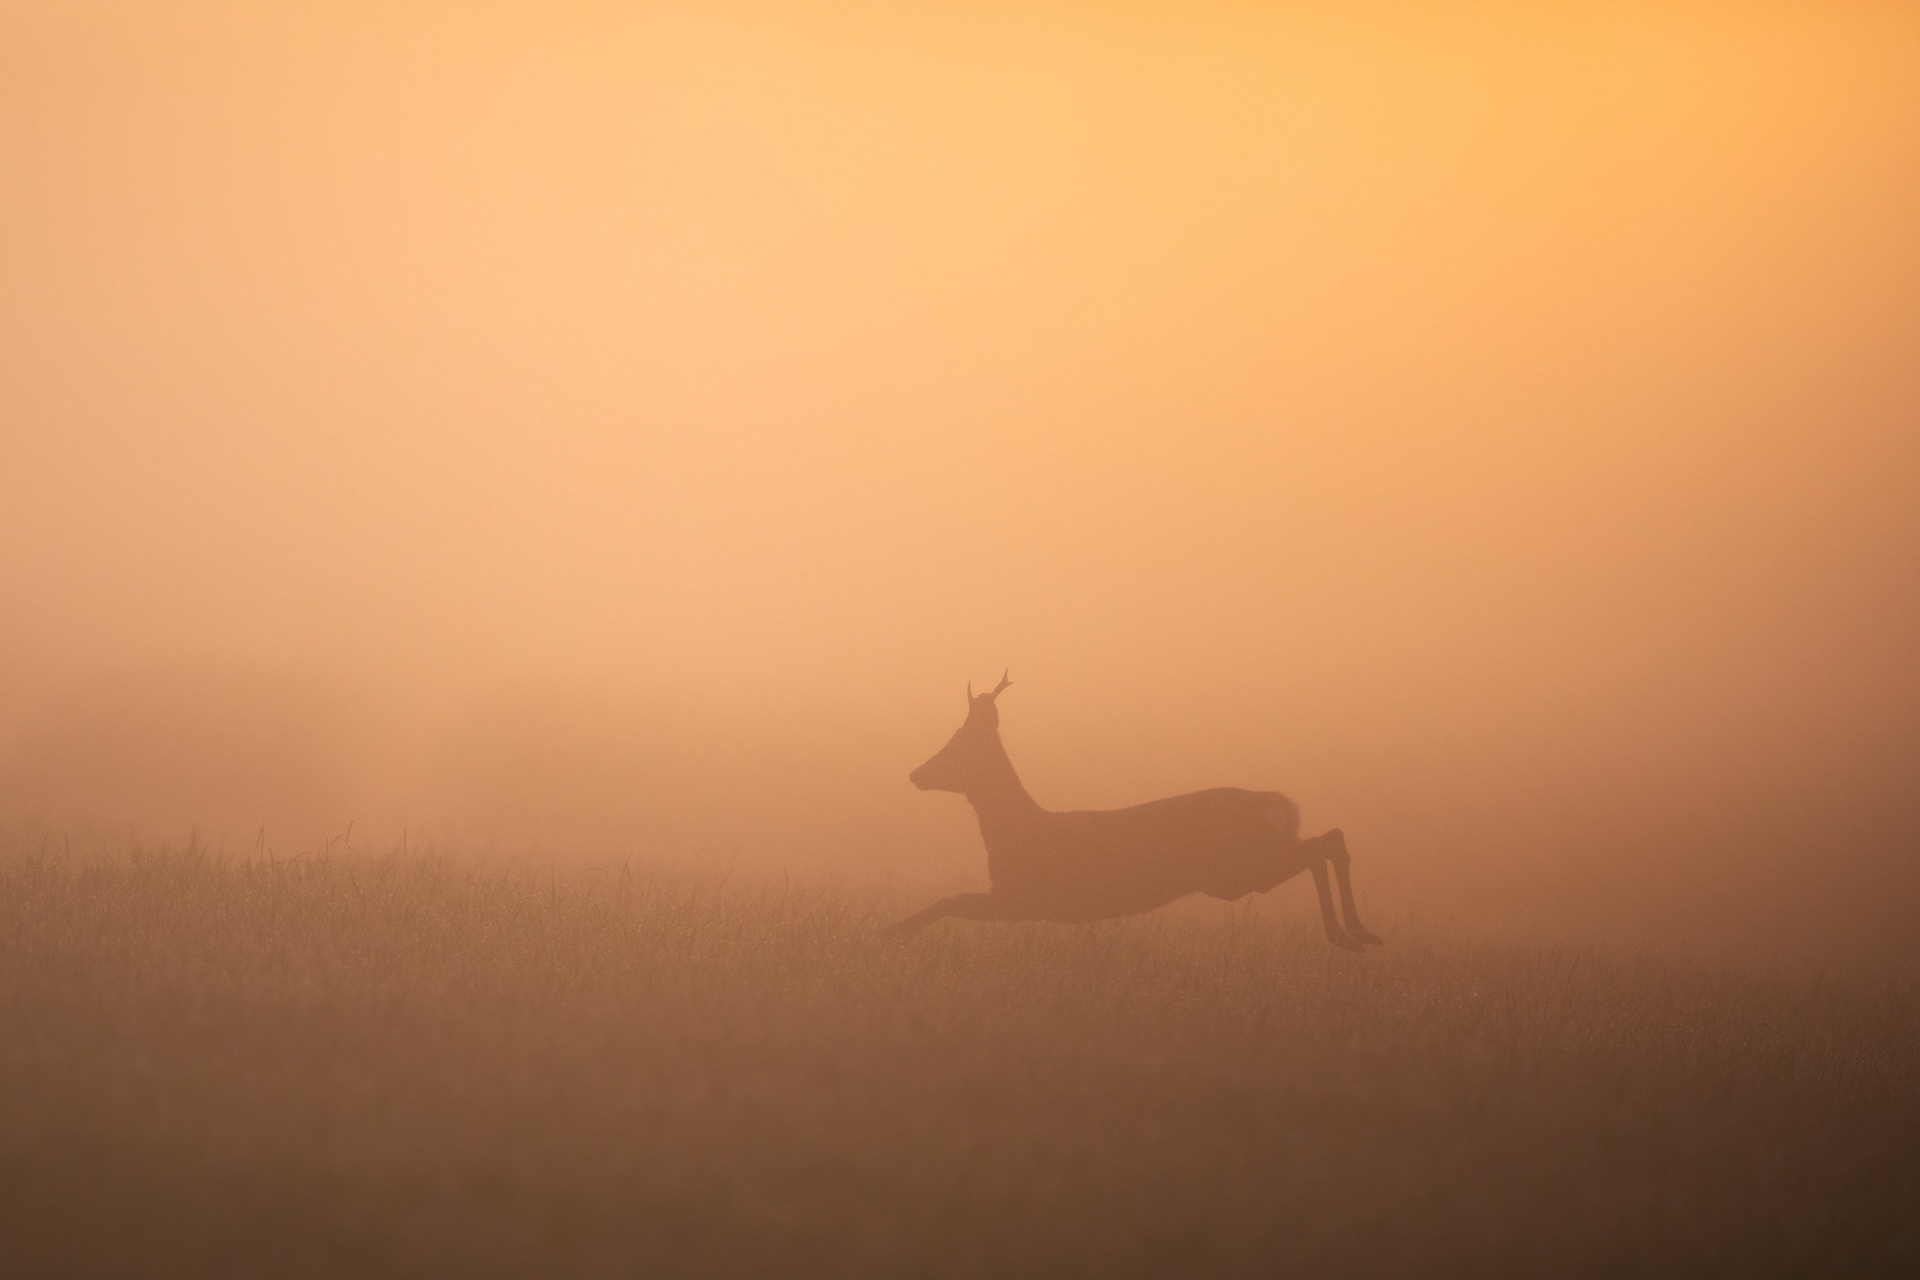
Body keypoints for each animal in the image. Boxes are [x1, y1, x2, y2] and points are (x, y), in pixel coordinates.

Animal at [883, 671, 1382, 951]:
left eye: (956, 745)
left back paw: (1349, 934)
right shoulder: (1019, 899)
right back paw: (1359, 933)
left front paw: (893, 934)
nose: (915, 774)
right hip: (1244, 865)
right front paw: (895, 934)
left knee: (1320, 846)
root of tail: (1281, 805)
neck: (1018, 832)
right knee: (1328, 838)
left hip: (1234, 870)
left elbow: (949, 900)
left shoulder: (1025, 897)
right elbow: (950, 901)